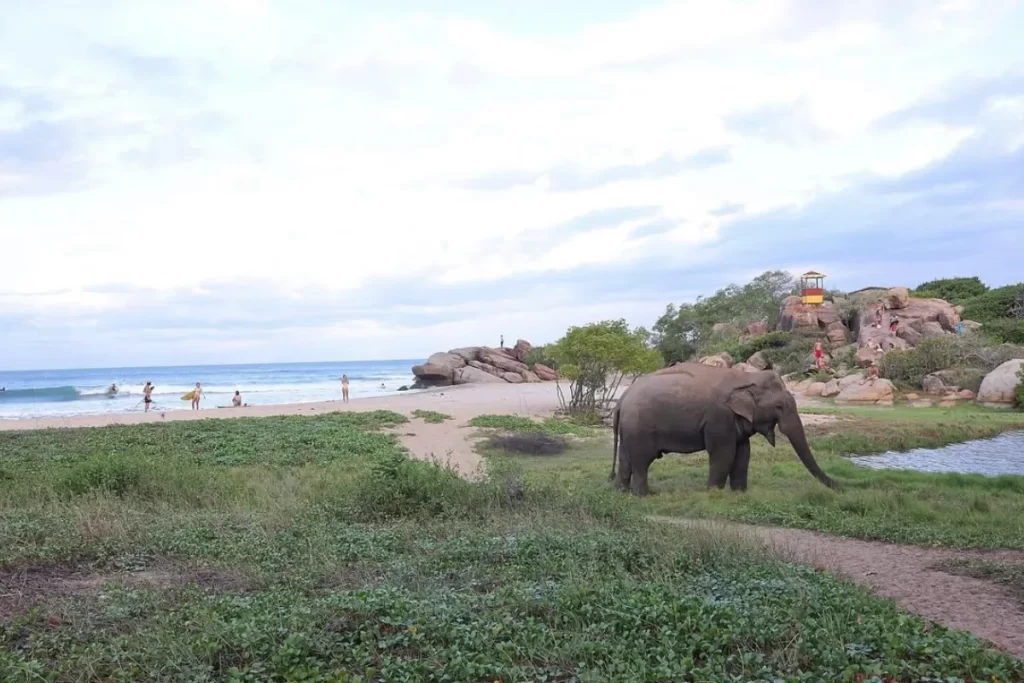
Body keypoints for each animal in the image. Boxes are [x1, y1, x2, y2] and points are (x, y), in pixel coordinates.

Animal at [610, 362, 840, 495]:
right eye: (779, 407)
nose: (842, 488)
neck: (746, 378)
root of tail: (622, 399)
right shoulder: (719, 417)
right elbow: (724, 453)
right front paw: (714, 493)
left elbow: (743, 452)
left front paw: (739, 494)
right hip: (639, 427)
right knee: (642, 460)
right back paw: (645, 495)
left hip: (628, 428)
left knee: (625, 459)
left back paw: (621, 492)